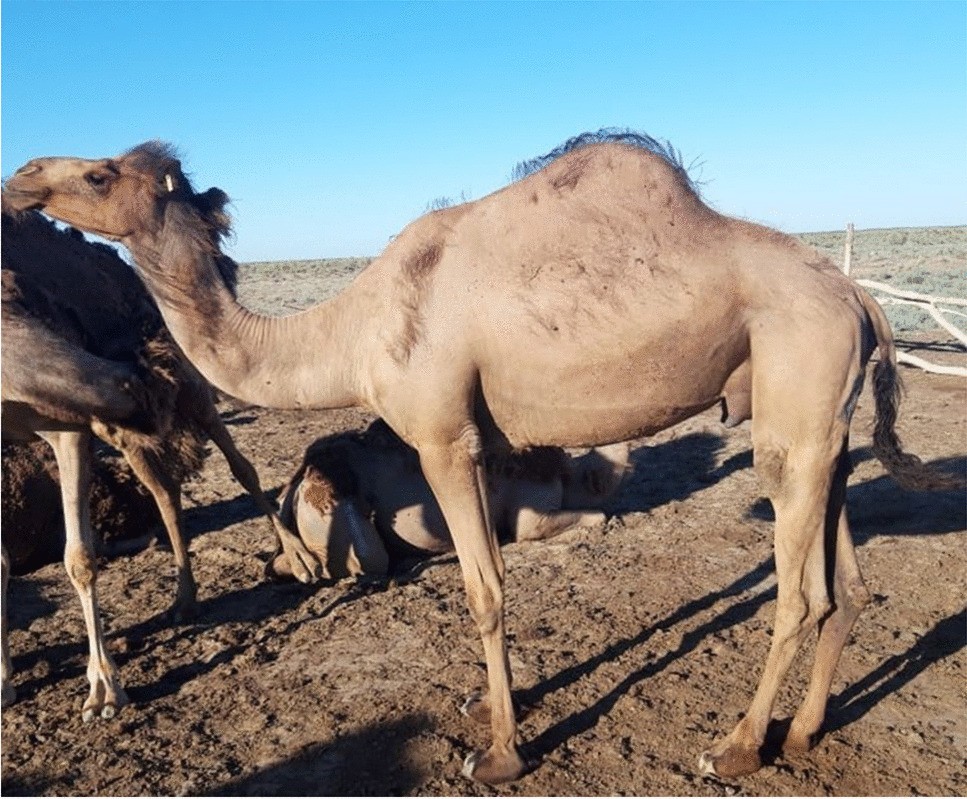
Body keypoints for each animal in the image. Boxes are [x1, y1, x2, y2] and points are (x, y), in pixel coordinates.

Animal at [0, 206, 319, 720]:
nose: (140, 365)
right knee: (165, 490)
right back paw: (184, 601)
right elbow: (4, 562)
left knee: (242, 467)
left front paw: (104, 689)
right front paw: (5, 682)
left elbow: (79, 557)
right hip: (131, 434)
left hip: (192, 388)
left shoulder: (67, 427)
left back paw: (300, 559)